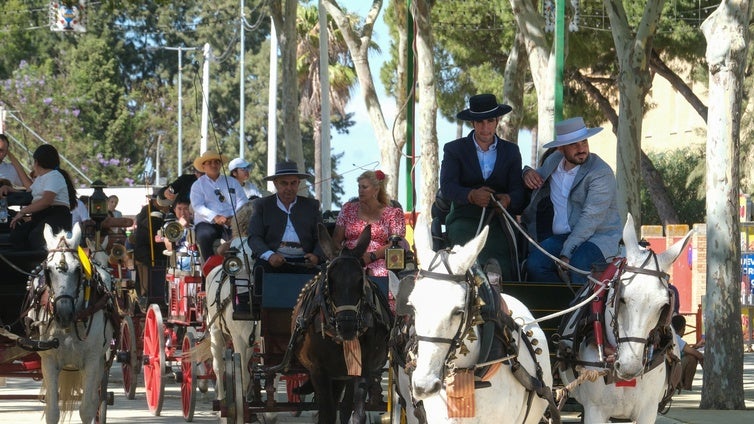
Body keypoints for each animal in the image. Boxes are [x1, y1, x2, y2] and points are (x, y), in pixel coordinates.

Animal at [31, 224, 114, 422]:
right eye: (48, 270)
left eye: (78, 270)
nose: (64, 313)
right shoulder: (49, 361)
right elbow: (52, 411)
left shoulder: (92, 360)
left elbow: (87, 409)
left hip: (99, 362)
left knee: (94, 400)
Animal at [290, 224, 390, 422]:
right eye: (330, 281)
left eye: (361, 280)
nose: (347, 325)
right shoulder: (318, 371)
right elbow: (327, 414)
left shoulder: (362, 368)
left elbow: (355, 413)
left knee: (343, 407)